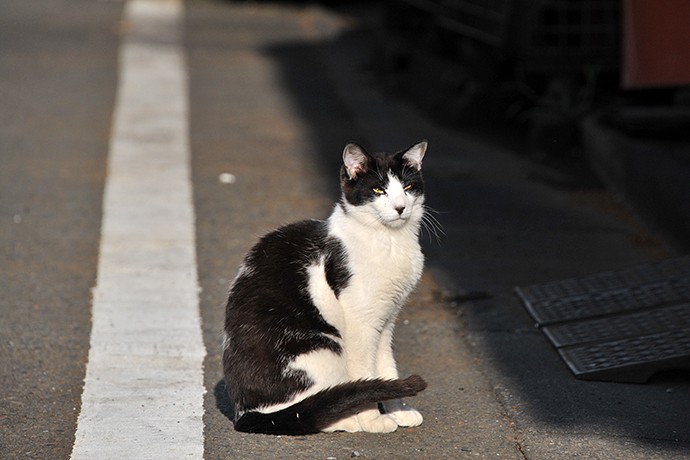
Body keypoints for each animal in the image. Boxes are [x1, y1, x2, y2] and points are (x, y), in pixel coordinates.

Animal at [223, 141, 430, 434]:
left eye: (408, 187)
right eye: (378, 190)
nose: (400, 207)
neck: (390, 242)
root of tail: (244, 413)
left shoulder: (386, 321)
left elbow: (386, 365)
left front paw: (399, 409)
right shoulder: (360, 324)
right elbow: (364, 371)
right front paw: (372, 419)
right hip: (325, 348)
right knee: (308, 413)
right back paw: (347, 419)